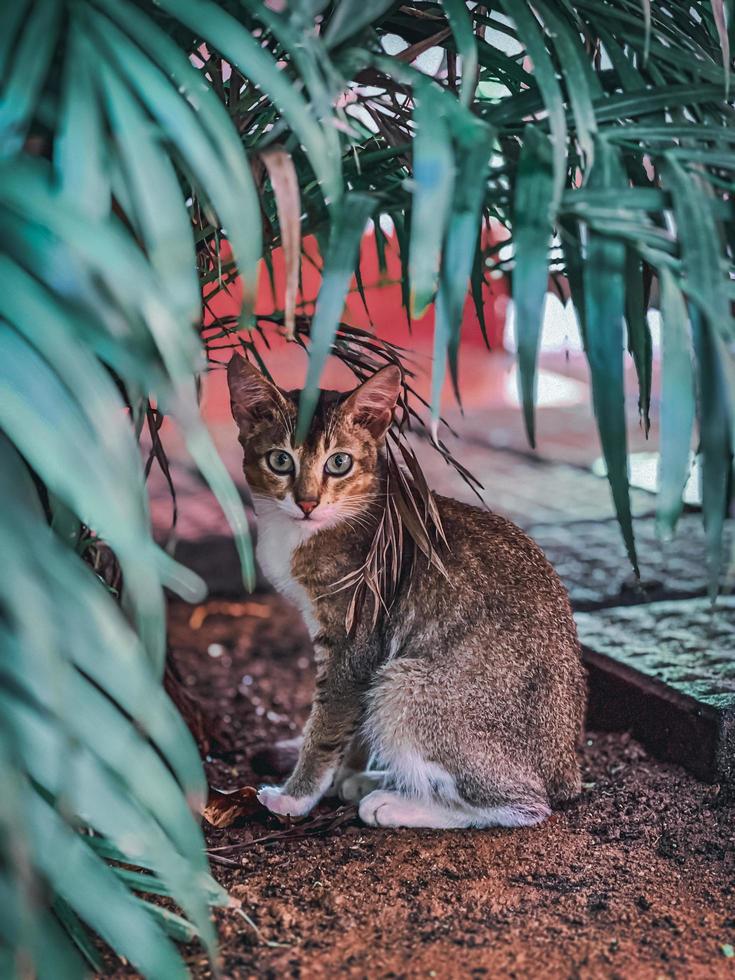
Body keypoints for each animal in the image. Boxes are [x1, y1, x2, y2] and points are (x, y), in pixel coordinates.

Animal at [227, 354, 584, 828]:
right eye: (280, 460)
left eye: (338, 463)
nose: (306, 502)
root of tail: (565, 771)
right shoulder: (361, 655)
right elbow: (351, 723)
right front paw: (350, 772)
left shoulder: (353, 642)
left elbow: (326, 724)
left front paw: (295, 797)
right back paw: (383, 781)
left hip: (404, 685)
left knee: (521, 806)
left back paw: (398, 803)